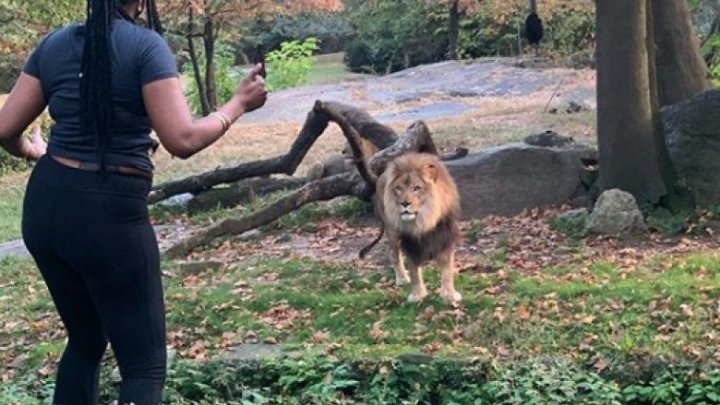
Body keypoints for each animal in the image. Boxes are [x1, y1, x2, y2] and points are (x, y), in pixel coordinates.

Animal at [360, 152, 462, 304]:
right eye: (399, 188)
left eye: (417, 188)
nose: (404, 203)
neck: (424, 220)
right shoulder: (409, 243)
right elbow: (414, 271)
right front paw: (417, 295)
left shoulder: (445, 237)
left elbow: (447, 270)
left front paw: (449, 294)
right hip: (392, 232)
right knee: (394, 255)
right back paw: (402, 278)